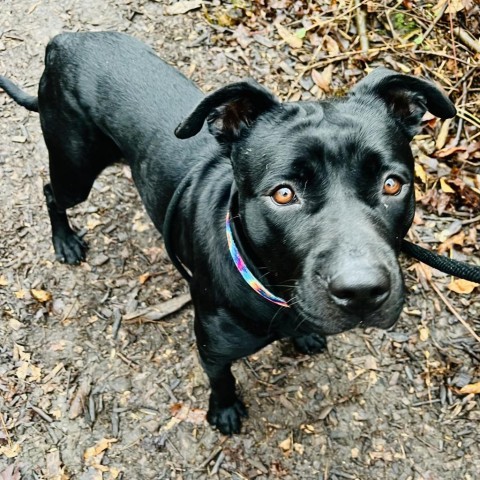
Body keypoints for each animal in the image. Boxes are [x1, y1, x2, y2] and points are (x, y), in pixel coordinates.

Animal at [0, 30, 456, 436]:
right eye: (283, 194)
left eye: (392, 185)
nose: (362, 291)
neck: (273, 291)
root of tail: (64, 42)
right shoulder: (212, 351)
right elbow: (222, 380)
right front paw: (224, 410)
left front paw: (306, 335)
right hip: (75, 167)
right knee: (51, 192)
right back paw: (64, 240)